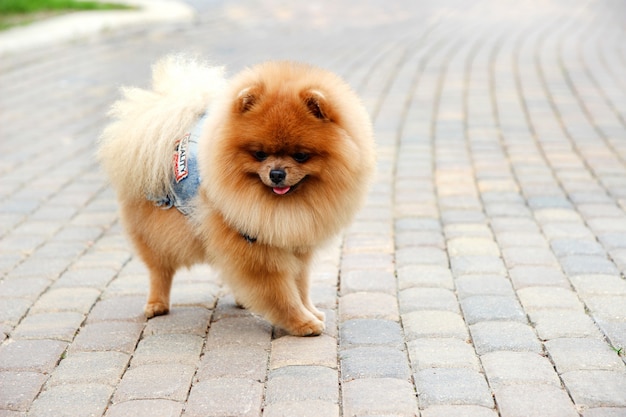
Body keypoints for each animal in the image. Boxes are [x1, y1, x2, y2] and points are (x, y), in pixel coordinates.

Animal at [96, 54, 370, 334]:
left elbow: (300, 284)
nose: (277, 173)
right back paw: (156, 304)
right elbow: (281, 292)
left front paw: (310, 311)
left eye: (301, 155)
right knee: (159, 269)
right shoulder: (254, 249)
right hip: (159, 230)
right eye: (259, 154)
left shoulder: (295, 242)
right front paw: (302, 322)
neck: (281, 205)